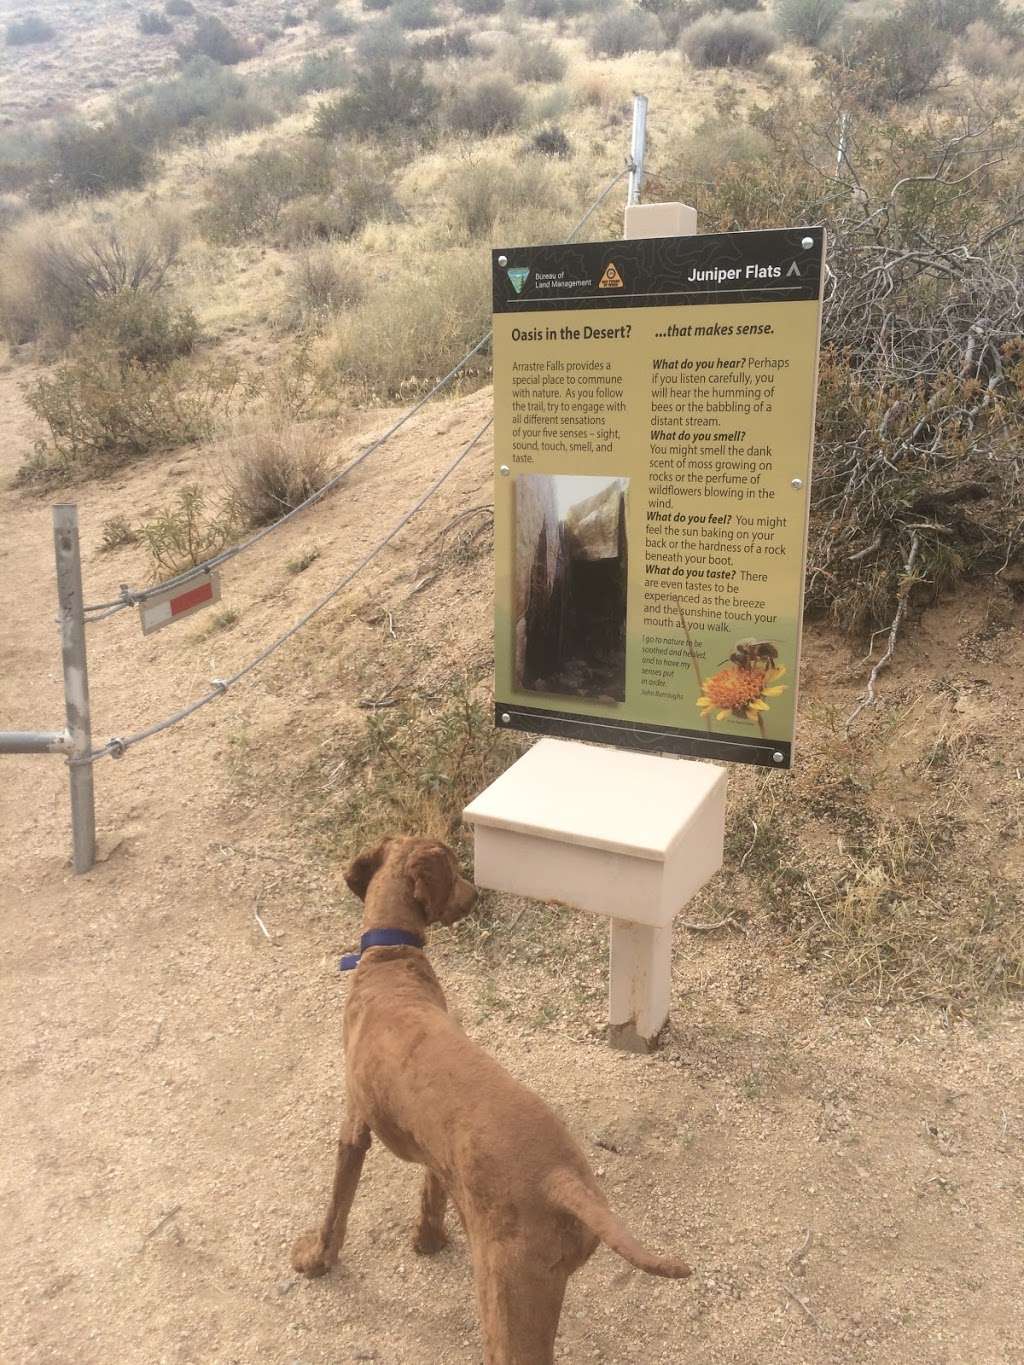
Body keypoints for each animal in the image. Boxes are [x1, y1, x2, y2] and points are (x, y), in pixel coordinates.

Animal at [292, 835, 690, 1359]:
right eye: (455, 868)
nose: (476, 893)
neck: (391, 960)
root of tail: (561, 1179)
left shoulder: (354, 1126)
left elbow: (336, 1210)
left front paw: (316, 1260)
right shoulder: (438, 1153)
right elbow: (430, 1194)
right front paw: (428, 1240)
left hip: (507, 1296)